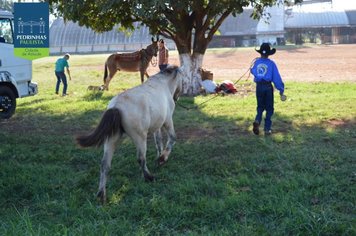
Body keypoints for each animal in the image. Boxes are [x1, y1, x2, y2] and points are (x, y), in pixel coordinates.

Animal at [76, 65, 182, 204]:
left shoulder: (157, 126)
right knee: (141, 158)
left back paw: (101, 195)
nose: (177, 97)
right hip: (140, 138)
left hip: (111, 140)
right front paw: (162, 159)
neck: (162, 84)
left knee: (105, 164)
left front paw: (159, 158)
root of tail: (116, 107)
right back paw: (148, 177)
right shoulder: (168, 121)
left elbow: (158, 142)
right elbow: (172, 138)